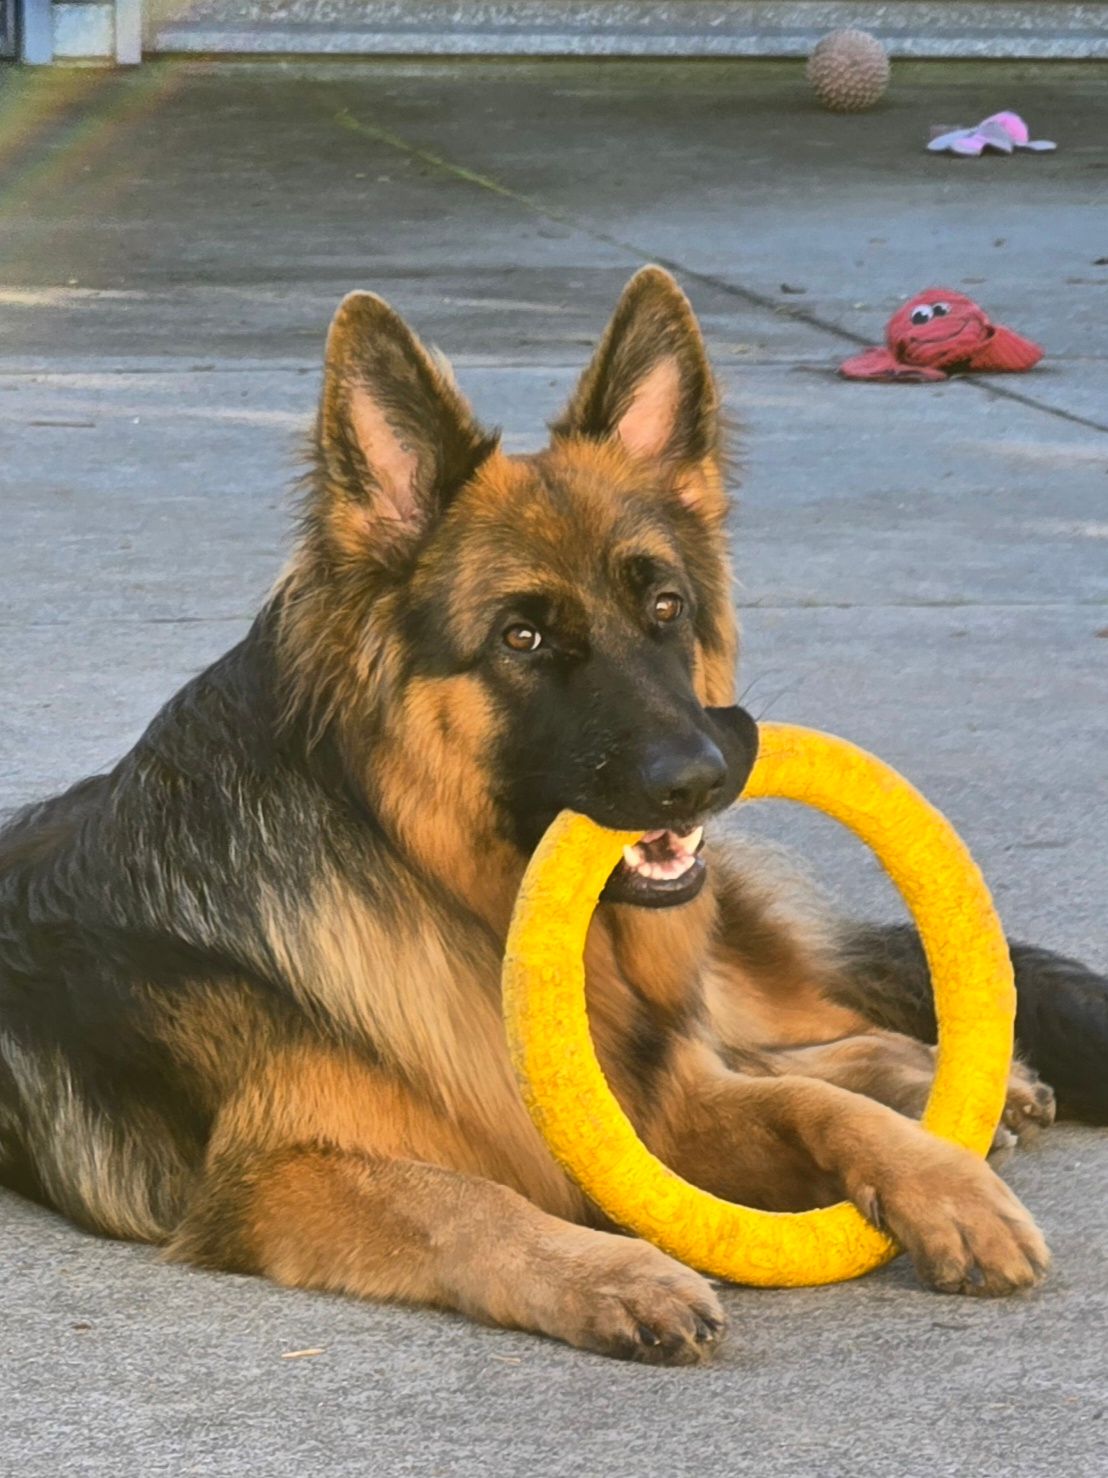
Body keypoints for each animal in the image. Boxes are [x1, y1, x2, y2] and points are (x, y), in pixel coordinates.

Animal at [2, 268, 1106, 1366]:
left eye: (664, 607)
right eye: (521, 637)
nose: (699, 778)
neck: (442, 888)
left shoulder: (665, 1102)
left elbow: (810, 1103)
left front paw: (946, 1186)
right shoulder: (283, 1172)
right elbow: (465, 1202)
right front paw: (612, 1271)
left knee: (795, 1022)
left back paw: (965, 1085)